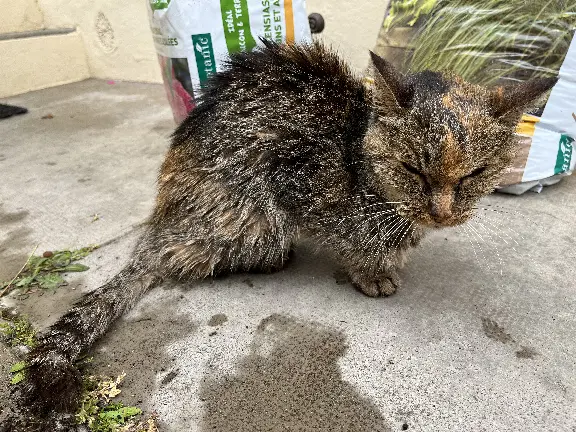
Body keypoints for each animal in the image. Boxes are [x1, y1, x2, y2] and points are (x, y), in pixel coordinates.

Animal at [5, 39, 560, 428]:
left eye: (475, 174)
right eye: (412, 170)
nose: (442, 213)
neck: (360, 155)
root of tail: (157, 227)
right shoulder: (300, 185)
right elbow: (353, 240)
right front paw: (373, 271)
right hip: (253, 219)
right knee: (193, 258)